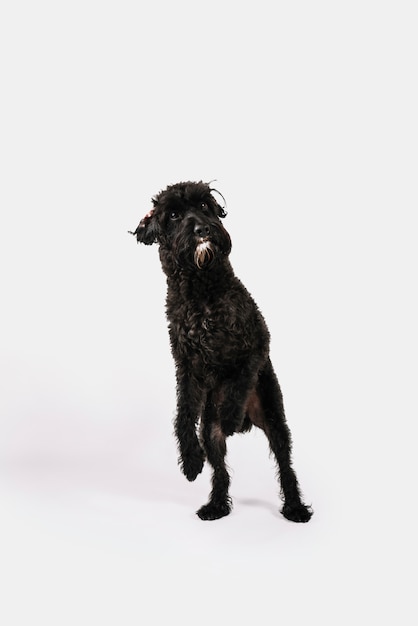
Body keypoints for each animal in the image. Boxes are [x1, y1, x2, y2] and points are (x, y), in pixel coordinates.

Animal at [129, 180, 312, 520]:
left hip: (274, 416)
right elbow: (183, 414)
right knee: (220, 470)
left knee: (286, 464)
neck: (201, 290)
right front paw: (190, 461)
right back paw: (216, 505)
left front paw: (229, 415)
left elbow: (240, 378)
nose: (202, 229)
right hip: (209, 431)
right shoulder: (185, 364)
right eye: (173, 215)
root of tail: (251, 418)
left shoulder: (257, 342)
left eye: (204, 205)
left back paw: (295, 507)